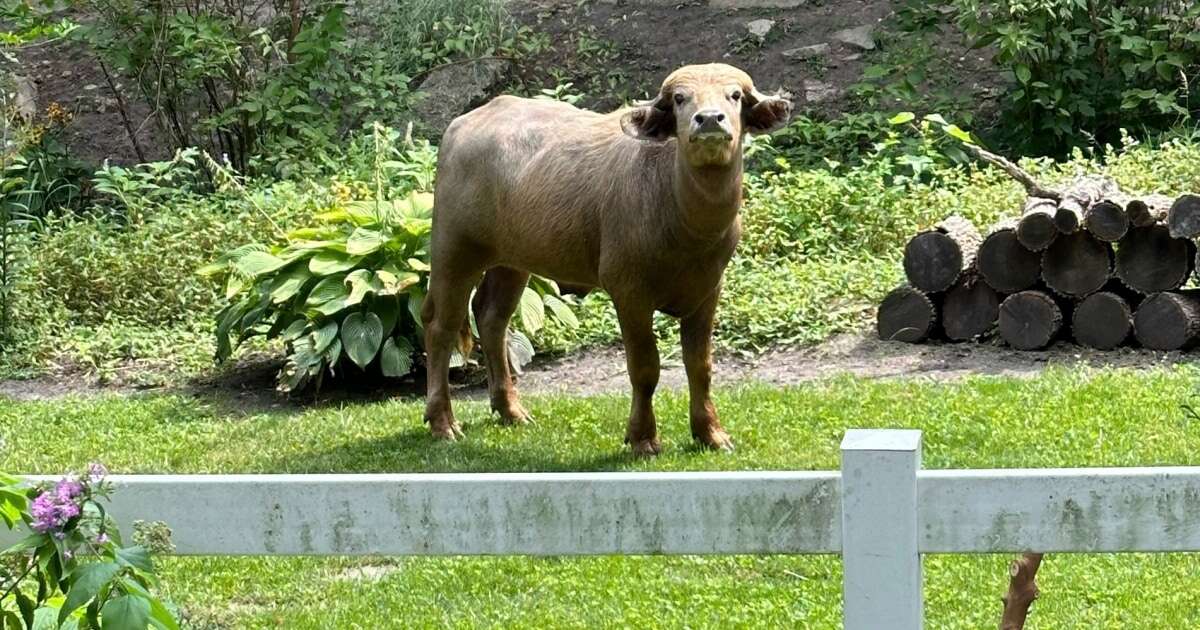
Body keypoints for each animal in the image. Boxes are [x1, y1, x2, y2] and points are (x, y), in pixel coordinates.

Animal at [427, 63, 792, 451]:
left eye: (734, 95)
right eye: (680, 98)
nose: (709, 119)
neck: (685, 221)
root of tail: (461, 125)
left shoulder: (708, 290)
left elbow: (700, 366)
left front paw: (711, 432)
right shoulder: (628, 291)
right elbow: (645, 368)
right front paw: (643, 437)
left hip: (511, 260)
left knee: (492, 317)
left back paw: (511, 410)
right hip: (453, 249)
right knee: (441, 327)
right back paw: (442, 422)